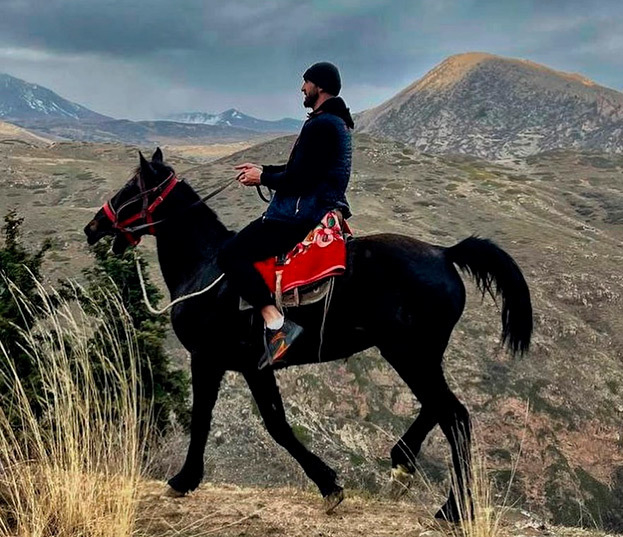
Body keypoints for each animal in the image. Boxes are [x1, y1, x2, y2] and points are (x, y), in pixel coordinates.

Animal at [81, 149, 532, 520]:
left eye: (131, 190)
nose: (92, 226)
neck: (206, 267)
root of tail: (444, 253)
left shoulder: (220, 361)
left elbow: (245, 422)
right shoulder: (241, 366)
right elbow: (246, 421)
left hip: (408, 354)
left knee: (454, 415)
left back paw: (453, 509)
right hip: (418, 355)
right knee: (436, 408)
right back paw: (403, 464)